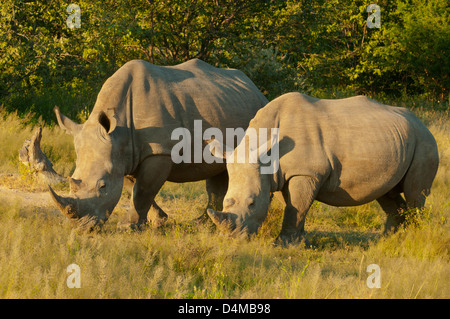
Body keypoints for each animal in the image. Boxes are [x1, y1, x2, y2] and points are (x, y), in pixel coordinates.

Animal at [49, 58, 268, 230]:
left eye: (103, 186)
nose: (81, 227)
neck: (119, 131)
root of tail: (255, 88)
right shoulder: (124, 154)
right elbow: (134, 188)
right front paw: (158, 221)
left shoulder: (159, 152)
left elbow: (143, 190)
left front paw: (128, 227)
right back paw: (201, 223)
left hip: (257, 113)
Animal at [207, 92, 440, 245]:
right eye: (226, 201)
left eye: (252, 203)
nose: (232, 239)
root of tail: (421, 122)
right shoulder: (283, 175)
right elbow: (295, 206)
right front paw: (300, 242)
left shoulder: (306, 171)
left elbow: (296, 206)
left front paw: (282, 244)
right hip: (398, 142)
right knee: (387, 193)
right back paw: (387, 240)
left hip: (425, 141)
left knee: (415, 194)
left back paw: (411, 239)